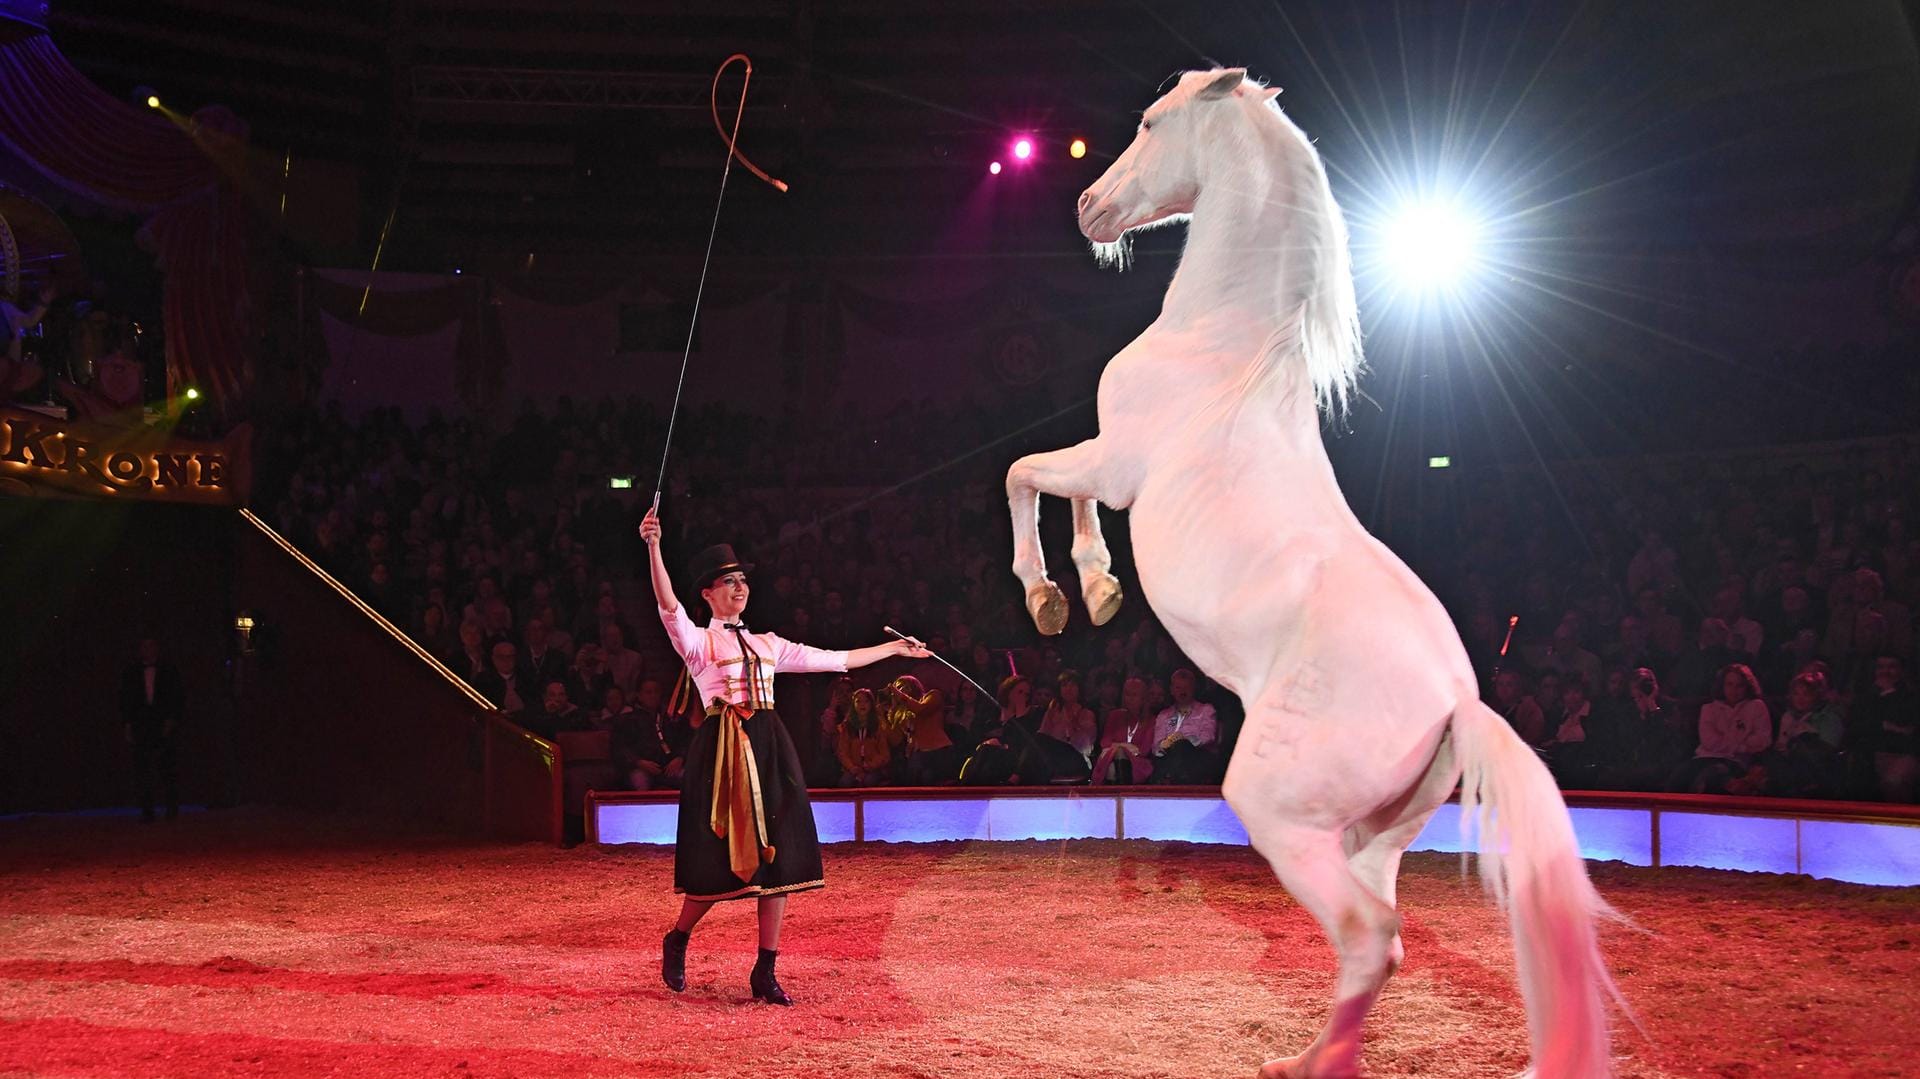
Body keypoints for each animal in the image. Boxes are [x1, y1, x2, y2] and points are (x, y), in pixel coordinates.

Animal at [1006, 69, 1620, 1075]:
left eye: (1150, 124)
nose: (1091, 207)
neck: (1224, 341)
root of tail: (1459, 699)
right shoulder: (1109, 463)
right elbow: (1061, 493)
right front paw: (1096, 592)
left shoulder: (1115, 460)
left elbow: (1027, 477)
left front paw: (1058, 593)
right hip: (1369, 834)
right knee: (1380, 937)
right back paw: (1310, 1054)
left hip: (1279, 812)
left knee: (1369, 933)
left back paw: (1309, 1062)